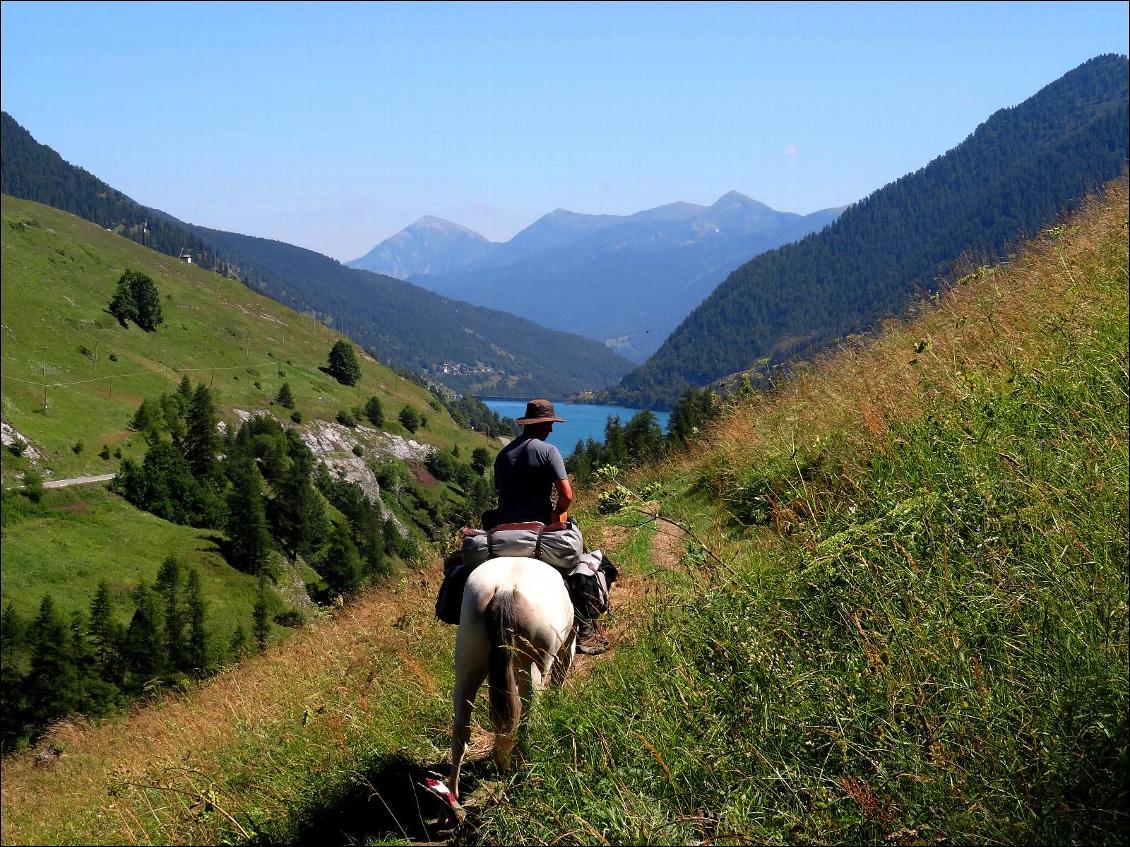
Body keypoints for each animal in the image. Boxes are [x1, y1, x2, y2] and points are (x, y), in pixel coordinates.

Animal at [447, 557, 574, 804]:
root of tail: (505, 589)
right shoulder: (565, 648)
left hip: (468, 665)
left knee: (461, 729)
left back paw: (452, 798)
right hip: (533, 667)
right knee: (527, 720)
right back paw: (524, 772)